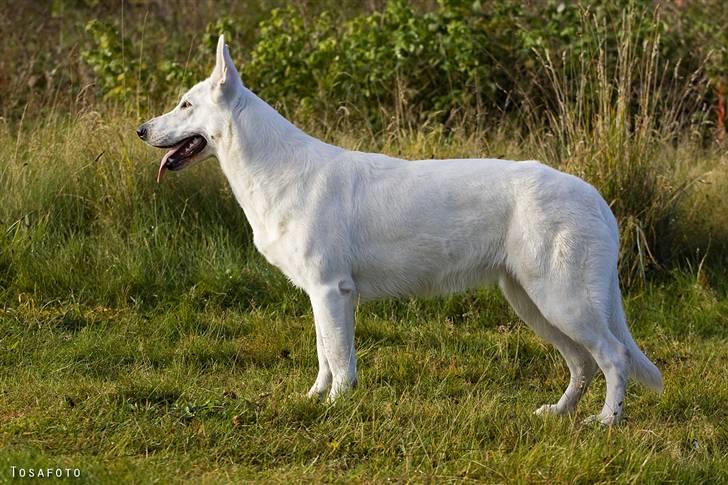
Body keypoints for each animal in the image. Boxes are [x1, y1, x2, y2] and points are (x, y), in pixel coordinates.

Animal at [134, 36, 664, 426]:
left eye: (185, 105)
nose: (141, 130)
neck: (273, 168)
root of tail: (597, 198)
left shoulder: (331, 291)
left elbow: (340, 359)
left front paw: (336, 407)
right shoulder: (321, 296)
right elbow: (324, 356)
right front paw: (315, 399)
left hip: (562, 301)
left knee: (614, 357)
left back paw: (606, 422)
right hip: (534, 303)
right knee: (582, 363)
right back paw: (558, 413)